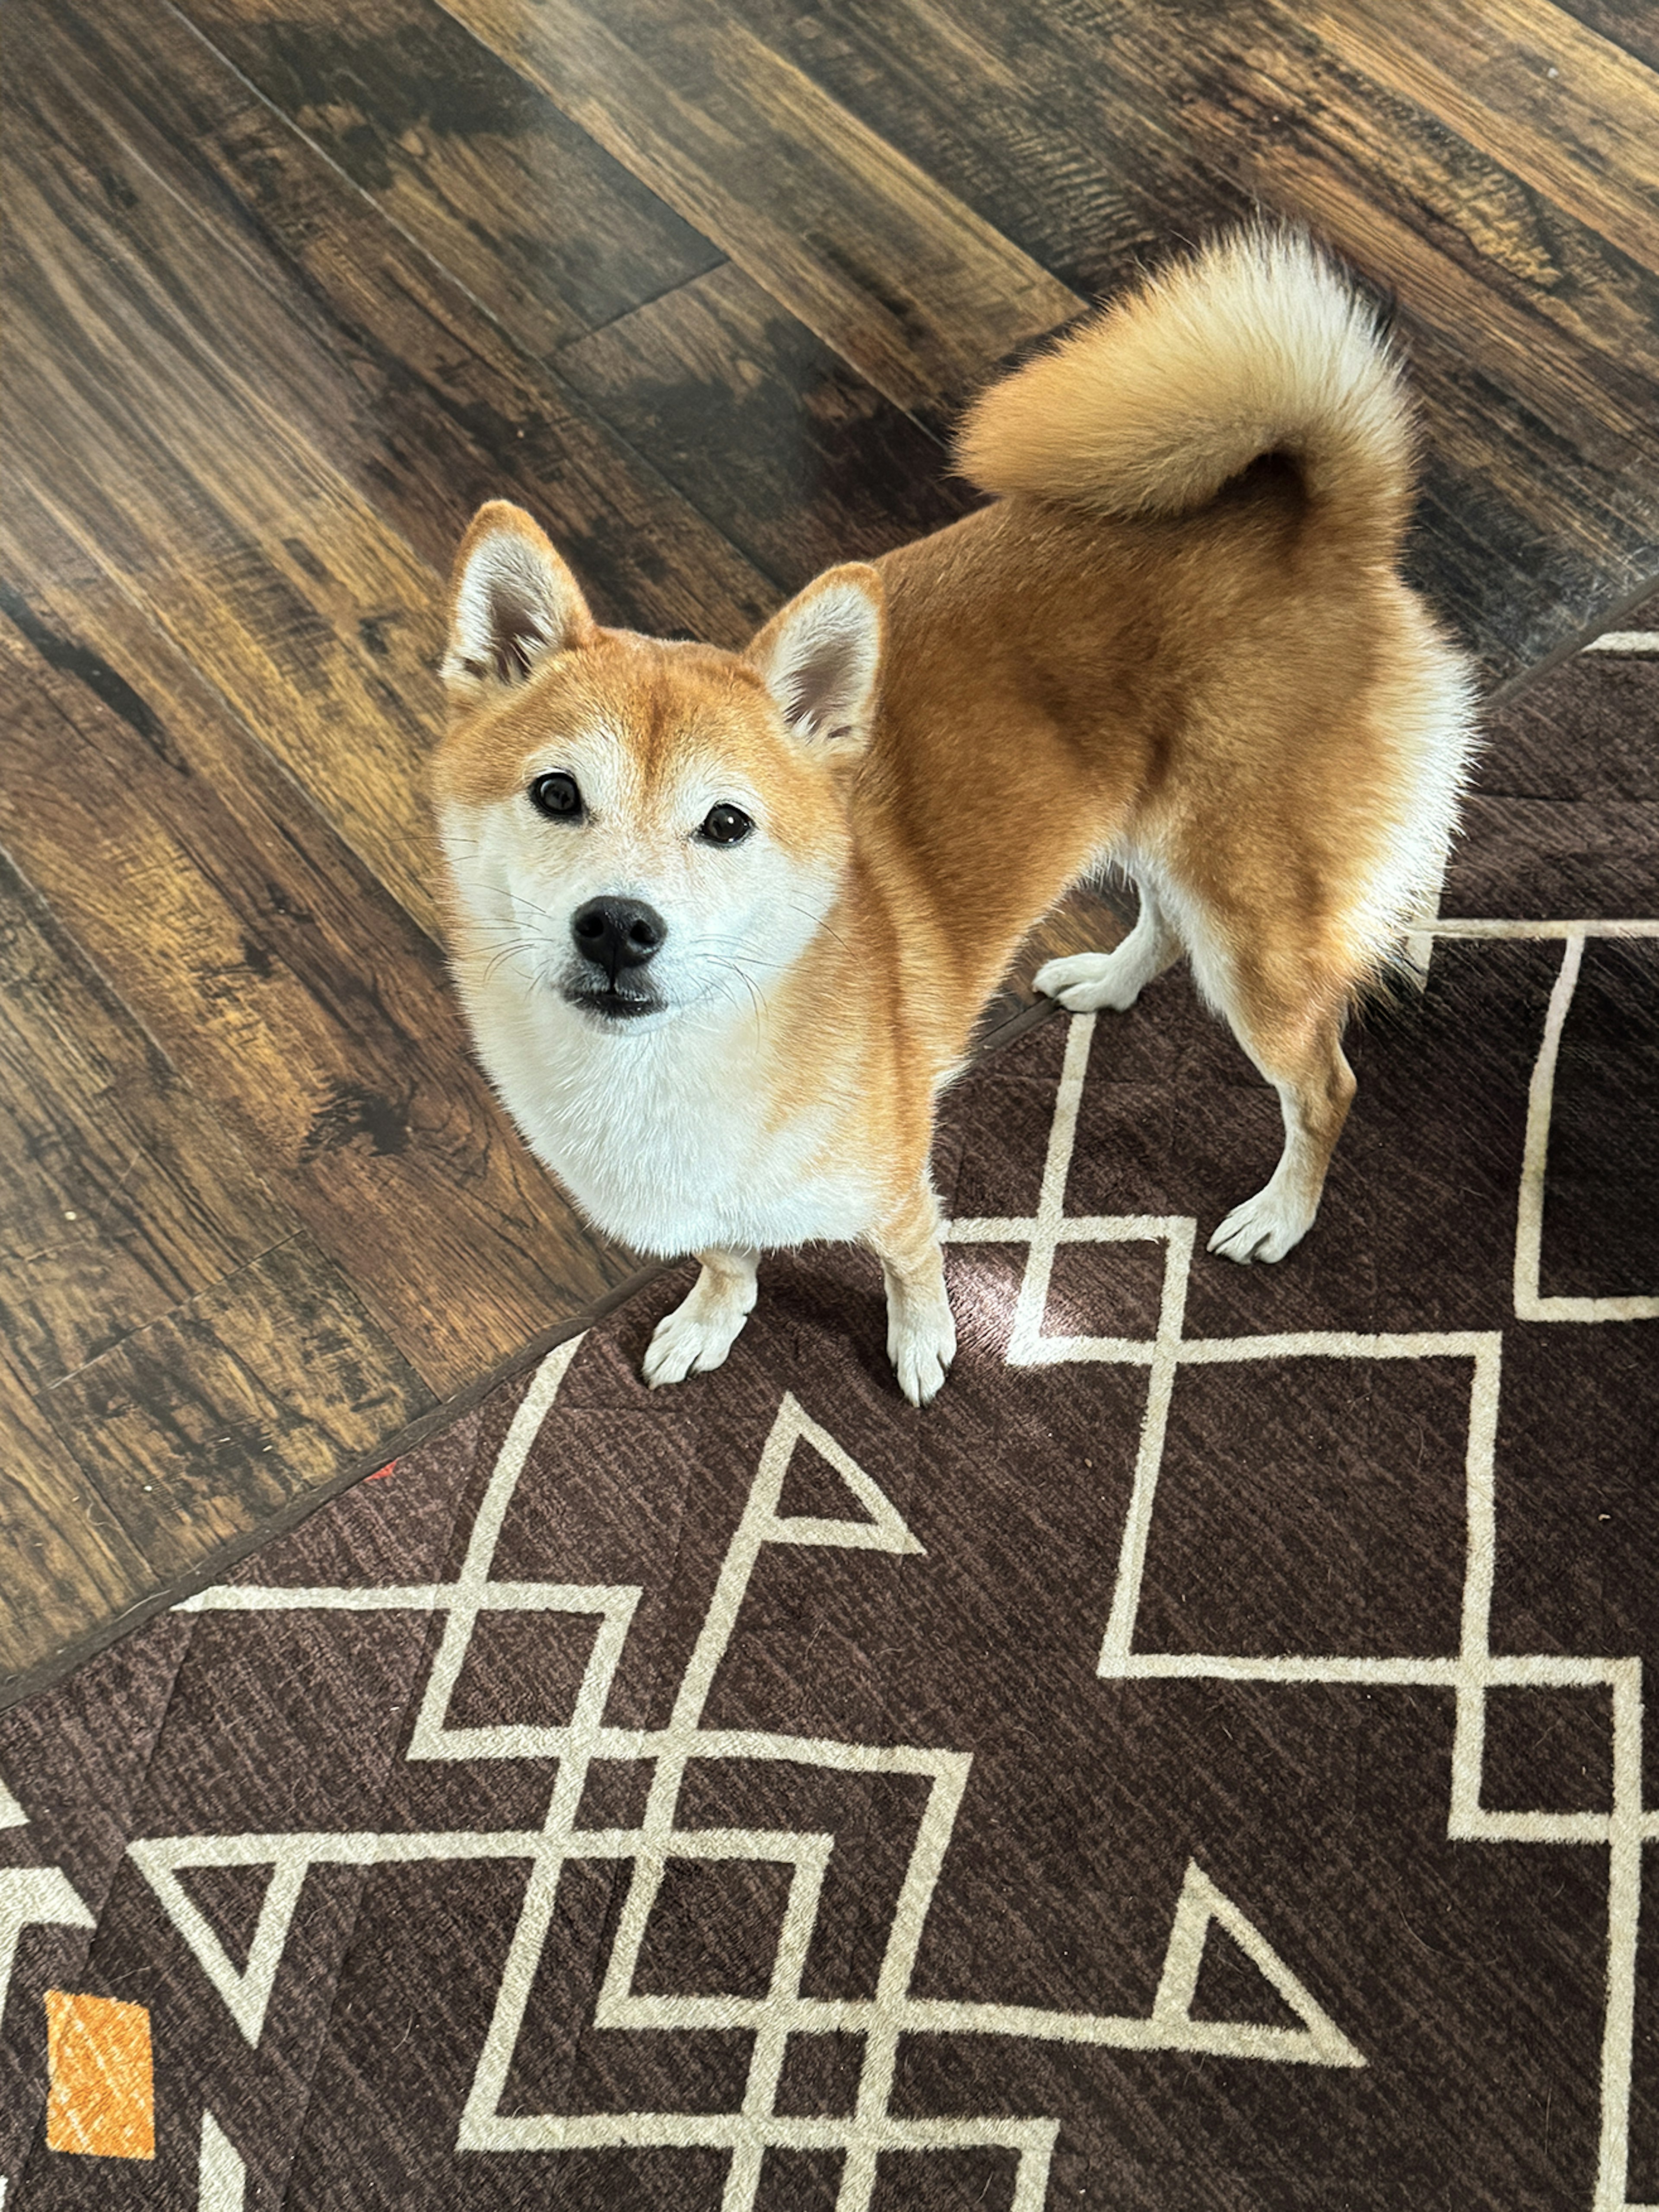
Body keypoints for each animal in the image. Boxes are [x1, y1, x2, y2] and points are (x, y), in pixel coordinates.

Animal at [431, 224, 1478, 1398]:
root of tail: (1323, 533)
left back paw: (1280, 1215)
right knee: (1164, 924)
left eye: (727, 824)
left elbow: (912, 1263)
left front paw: (923, 1343)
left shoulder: (895, 1184)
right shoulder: (719, 1199)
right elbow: (729, 1255)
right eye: (557, 794)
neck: (666, 1069)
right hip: (1162, 843)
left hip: (1260, 938)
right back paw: (1107, 981)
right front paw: (712, 1316)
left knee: (1325, 1088)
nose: (618, 924)